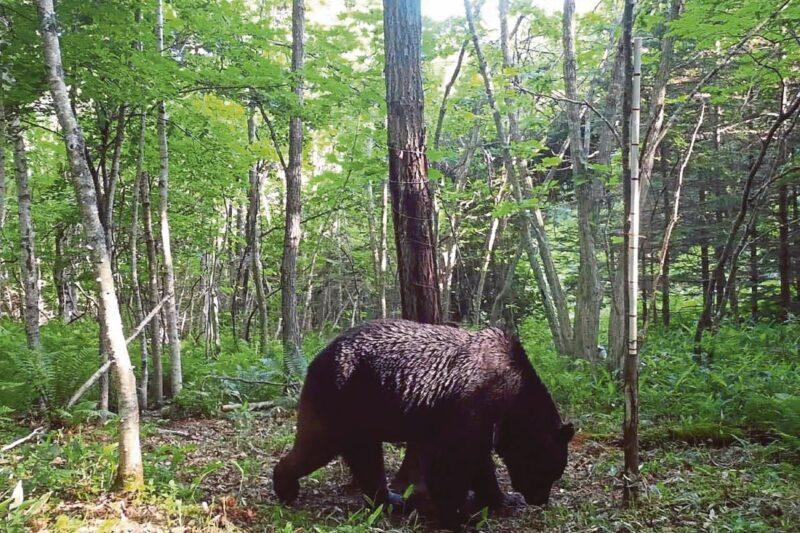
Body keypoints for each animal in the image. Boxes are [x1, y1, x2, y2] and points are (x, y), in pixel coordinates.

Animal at [272, 318, 572, 524]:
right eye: (549, 471)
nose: (539, 499)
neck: (511, 398)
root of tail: (318, 357)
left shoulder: (467, 421)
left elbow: (475, 462)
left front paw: (502, 498)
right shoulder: (470, 406)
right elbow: (455, 461)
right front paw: (458, 514)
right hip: (344, 398)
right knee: (325, 447)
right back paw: (287, 486)